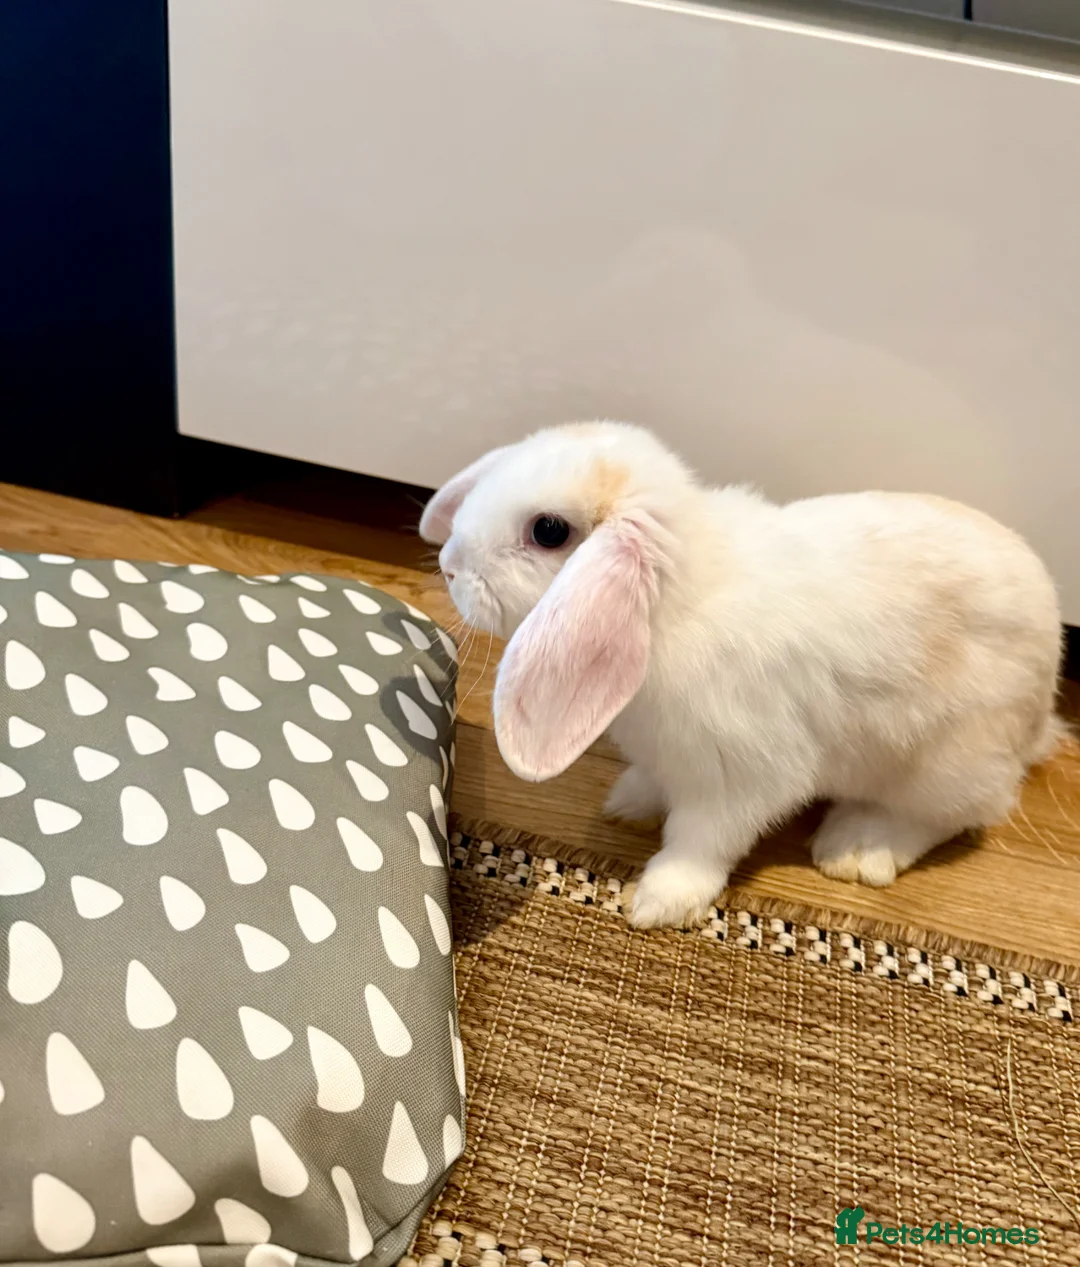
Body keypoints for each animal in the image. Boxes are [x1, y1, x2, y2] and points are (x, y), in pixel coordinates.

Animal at [420, 422, 1065, 929]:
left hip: (945, 765)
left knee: (955, 815)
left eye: (549, 531)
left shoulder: (741, 776)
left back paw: (856, 848)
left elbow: (702, 840)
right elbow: (656, 784)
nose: (449, 565)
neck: (668, 606)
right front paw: (629, 802)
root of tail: (1041, 708)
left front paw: (657, 903)